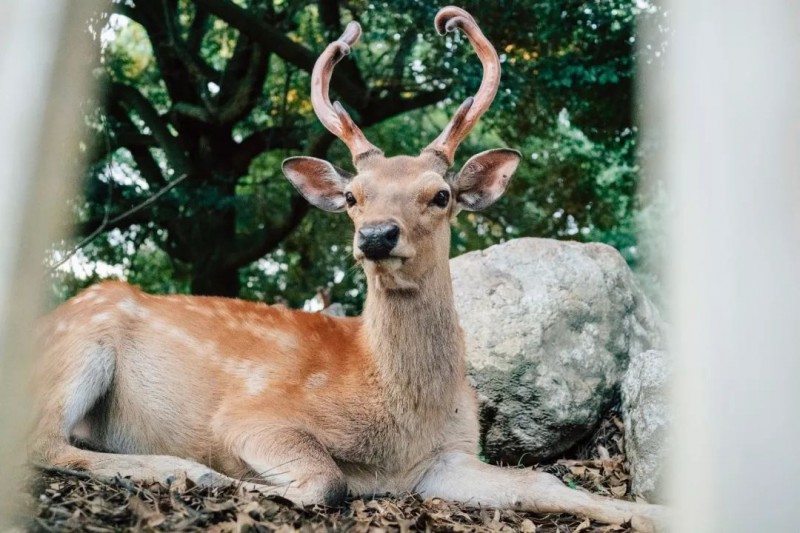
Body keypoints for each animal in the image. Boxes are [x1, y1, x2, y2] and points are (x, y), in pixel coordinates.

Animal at [29, 6, 668, 528]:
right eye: (355, 195)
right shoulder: (252, 415)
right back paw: (183, 470)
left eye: (440, 194)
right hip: (79, 345)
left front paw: (654, 512)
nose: (377, 235)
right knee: (41, 442)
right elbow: (325, 481)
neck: (399, 416)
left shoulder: (449, 456)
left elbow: (542, 480)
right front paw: (231, 478)